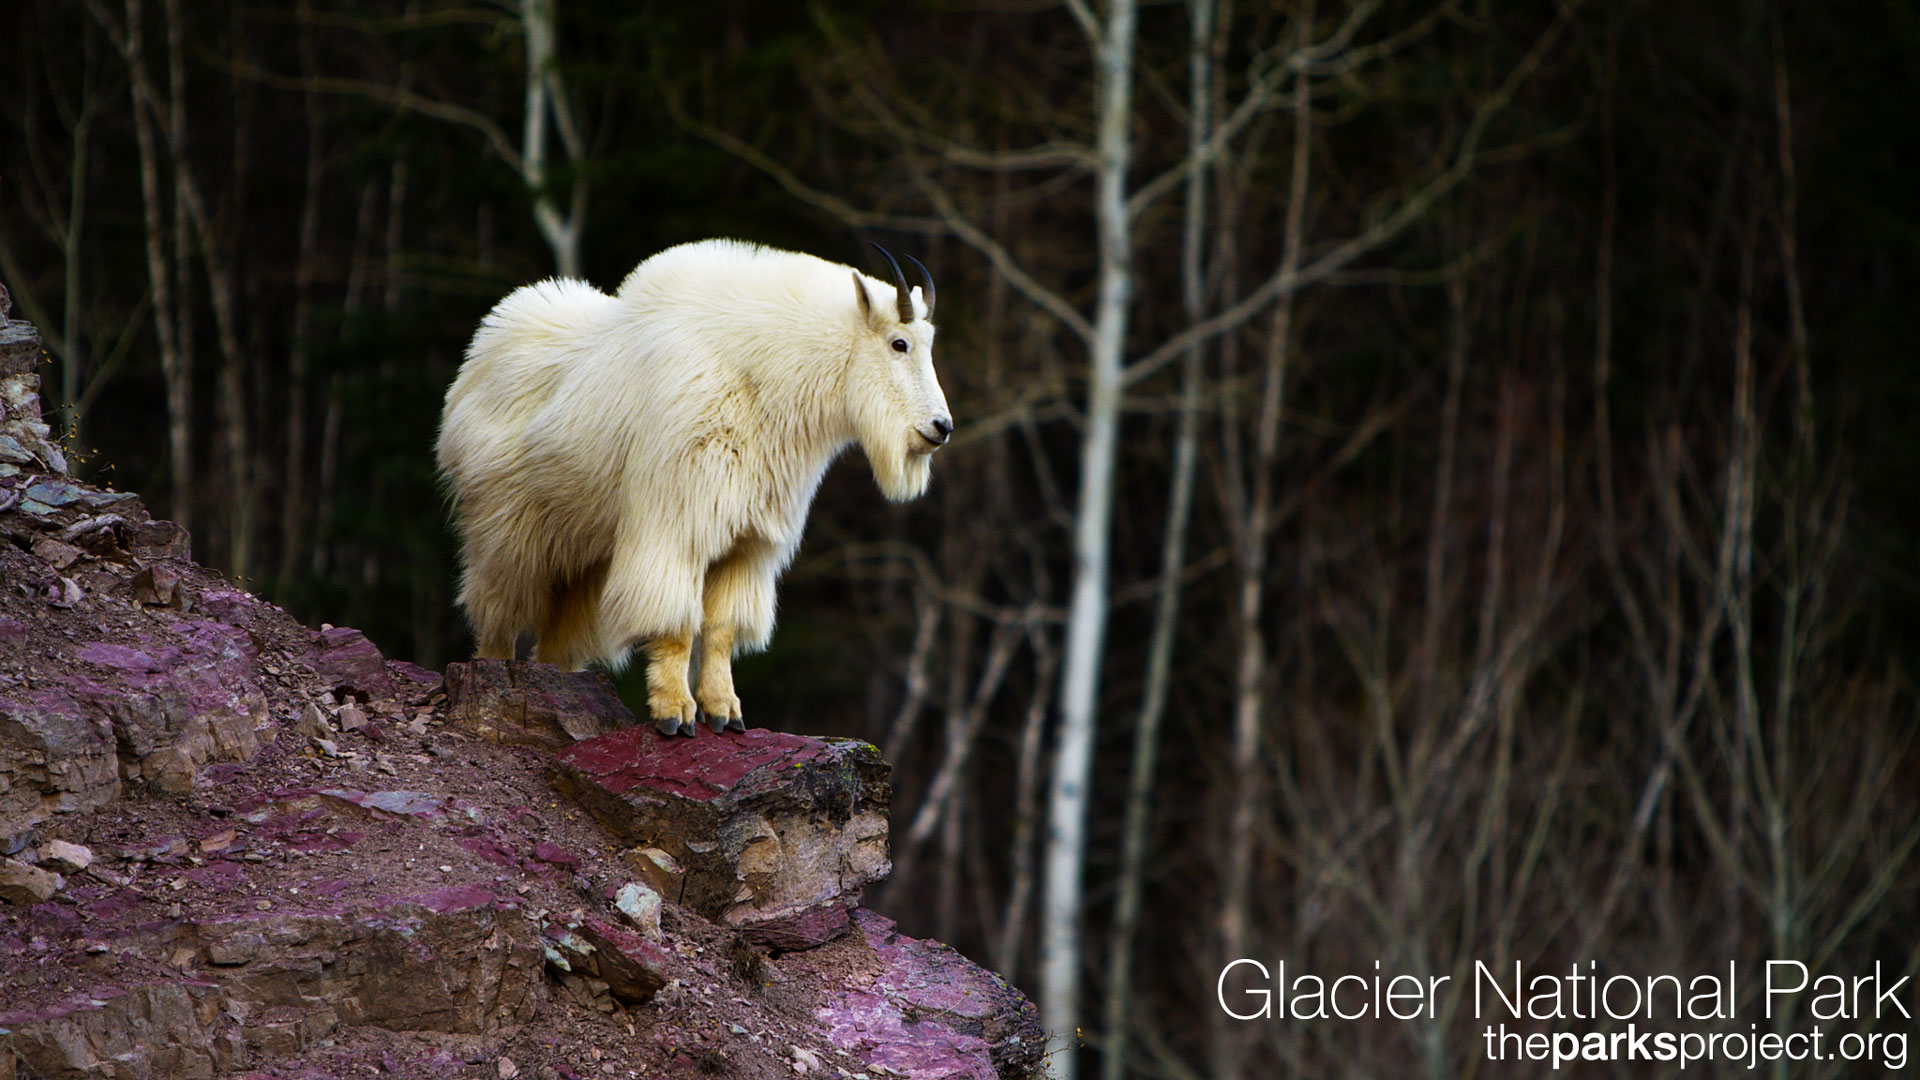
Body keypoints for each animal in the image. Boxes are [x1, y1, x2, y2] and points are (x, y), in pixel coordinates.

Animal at [432, 239, 948, 730]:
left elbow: (720, 630)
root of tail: (476, 361)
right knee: (498, 612)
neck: (761, 380)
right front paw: (674, 713)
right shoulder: (677, 526)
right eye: (899, 343)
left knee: (559, 639)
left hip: (581, 555)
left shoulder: (748, 543)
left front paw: (725, 713)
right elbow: (677, 626)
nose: (941, 427)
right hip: (507, 531)